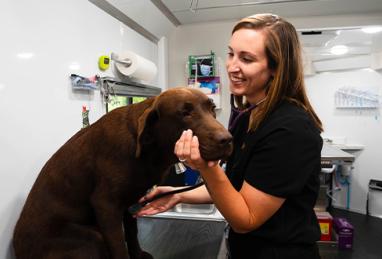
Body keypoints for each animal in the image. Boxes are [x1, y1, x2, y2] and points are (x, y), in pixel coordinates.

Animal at [13, 88, 231, 259]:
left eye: (212, 109)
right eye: (185, 113)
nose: (228, 139)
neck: (146, 149)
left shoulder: (128, 204)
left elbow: (132, 232)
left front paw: (138, 254)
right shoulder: (106, 206)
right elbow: (119, 245)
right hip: (91, 237)